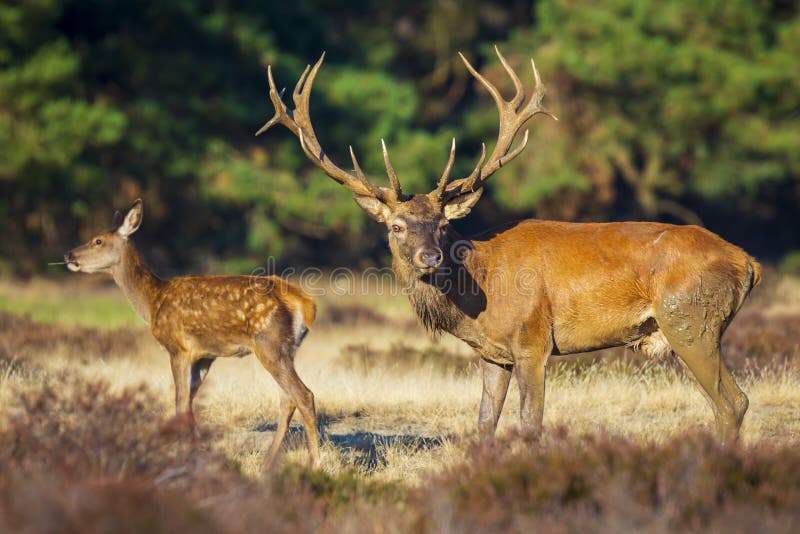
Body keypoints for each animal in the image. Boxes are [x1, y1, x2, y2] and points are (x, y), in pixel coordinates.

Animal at [64, 201, 318, 468]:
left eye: (98, 240)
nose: (69, 255)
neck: (152, 303)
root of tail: (305, 303)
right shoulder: (205, 355)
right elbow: (188, 403)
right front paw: (199, 450)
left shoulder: (178, 348)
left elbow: (179, 402)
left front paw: (182, 455)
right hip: (285, 349)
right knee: (287, 399)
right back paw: (268, 461)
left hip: (269, 342)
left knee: (303, 395)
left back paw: (314, 462)